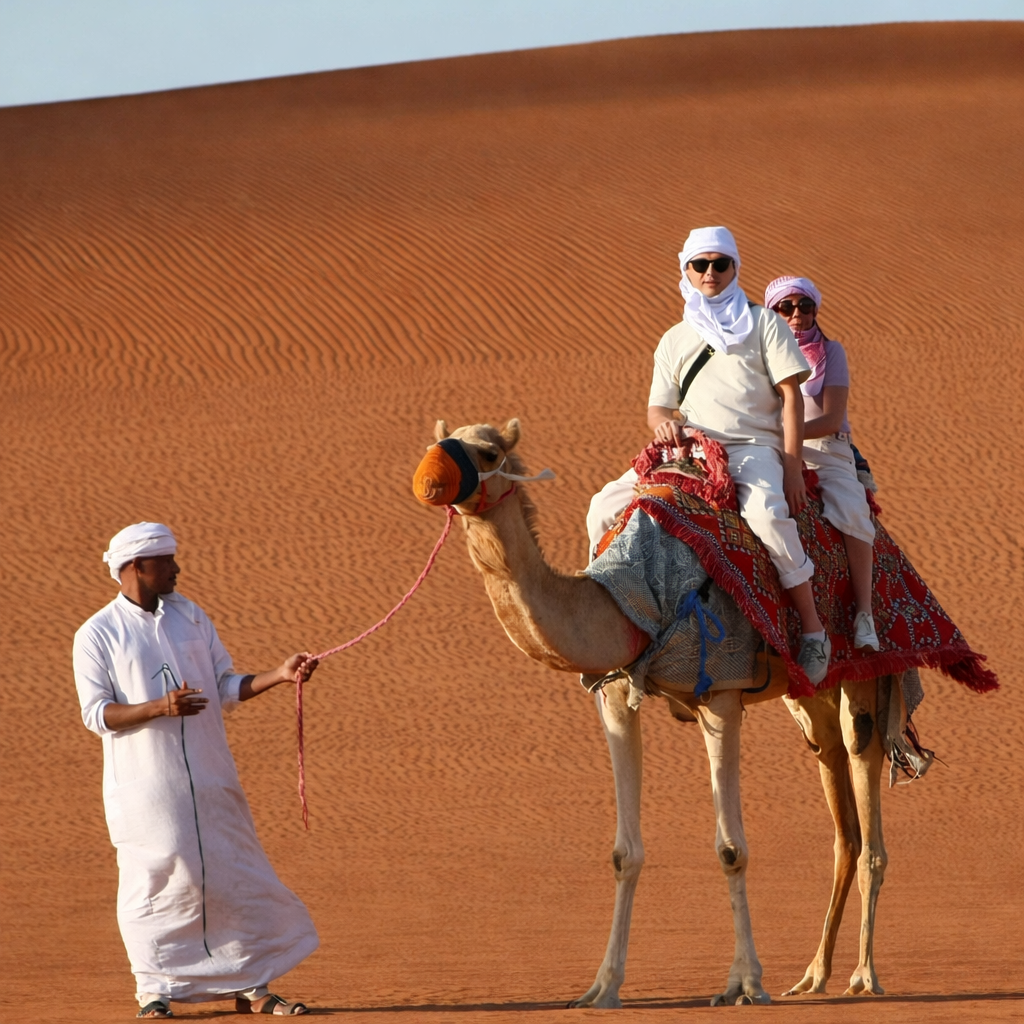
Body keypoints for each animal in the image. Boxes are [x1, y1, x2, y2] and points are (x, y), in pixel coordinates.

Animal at [412, 417, 898, 1007]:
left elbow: (731, 848)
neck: (631, 596)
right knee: (840, 810)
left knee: (865, 790)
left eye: (486, 452)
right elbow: (624, 853)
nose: (429, 482)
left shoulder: (722, 693)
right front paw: (601, 988)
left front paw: (744, 984)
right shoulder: (616, 696)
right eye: (437, 441)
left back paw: (864, 975)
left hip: (864, 674)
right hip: (805, 695)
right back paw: (814, 975)